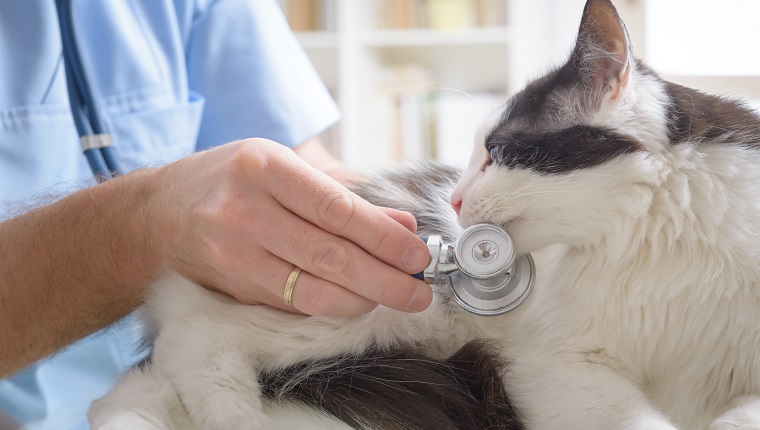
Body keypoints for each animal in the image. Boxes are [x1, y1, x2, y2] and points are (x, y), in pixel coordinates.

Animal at [92, 0, 760, 428]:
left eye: (496, 153)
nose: (457, 200)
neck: (653, 242)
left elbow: (734, 418)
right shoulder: (554, 365)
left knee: (141, 384)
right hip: (370, 308)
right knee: (190, 341)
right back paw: (236, 418)